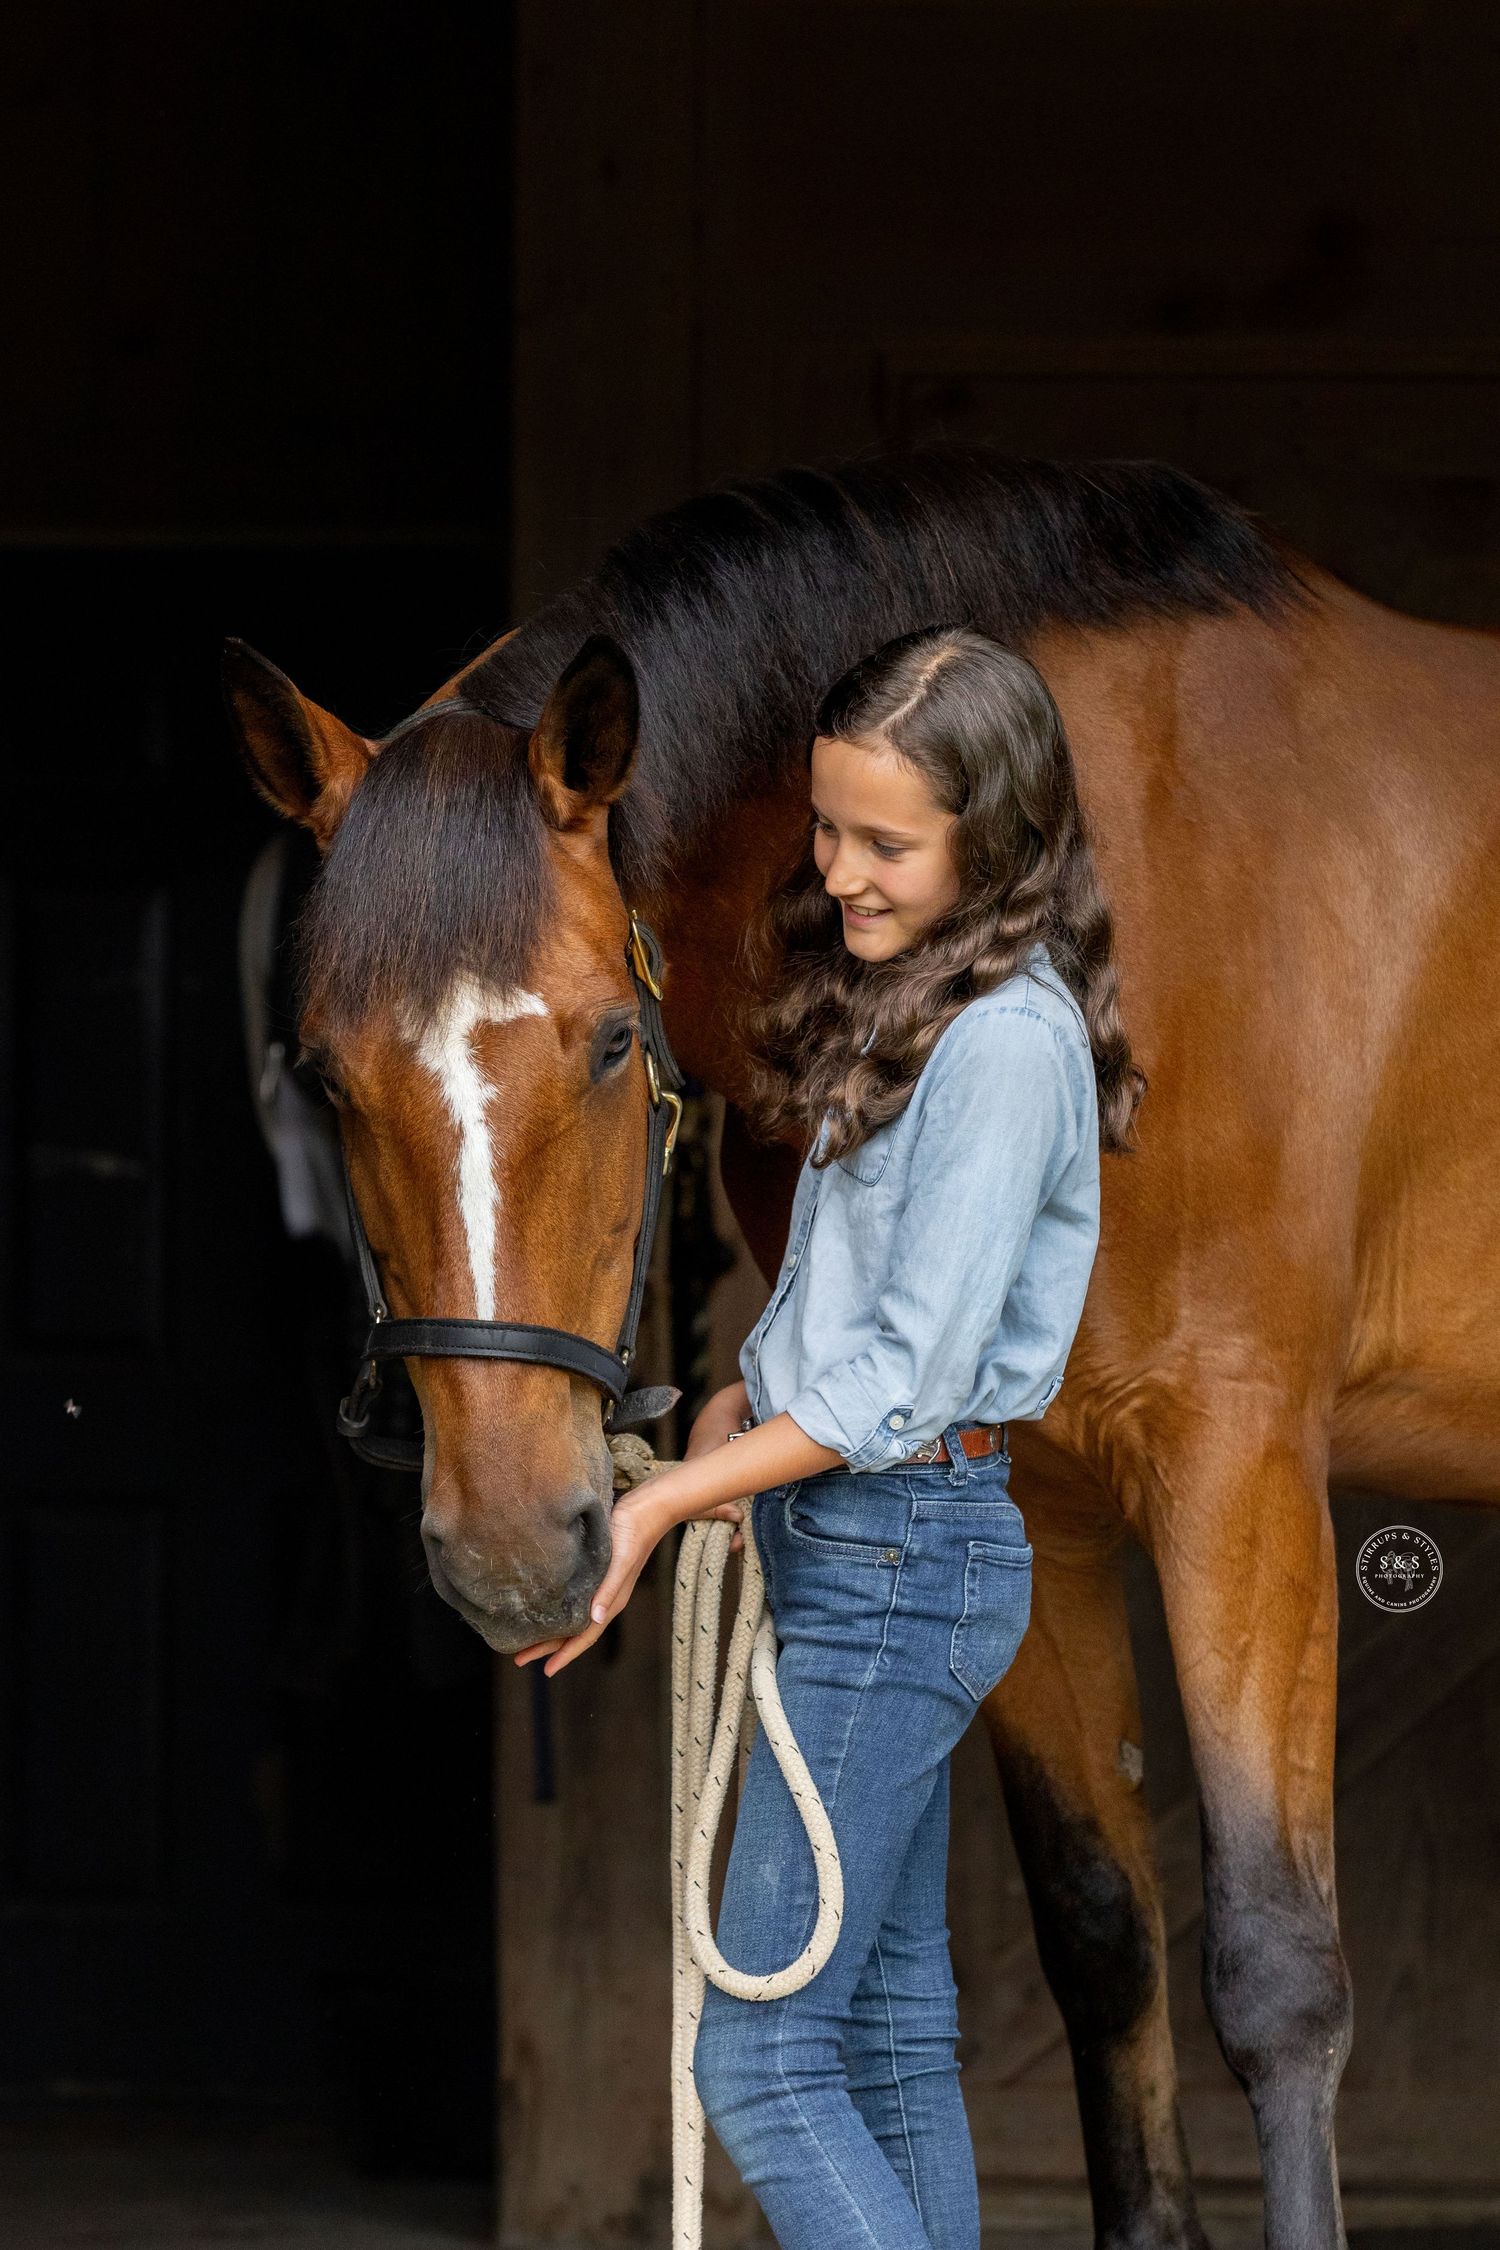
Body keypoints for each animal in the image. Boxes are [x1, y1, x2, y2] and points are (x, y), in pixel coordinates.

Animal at [224, 446, 1500, 2250]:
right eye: (323, 1072)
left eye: (607, 1043)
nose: (514, 1556)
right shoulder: (1038, 1499)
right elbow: (1106, 1941)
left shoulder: (1242, 1467)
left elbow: (1275, 1973)